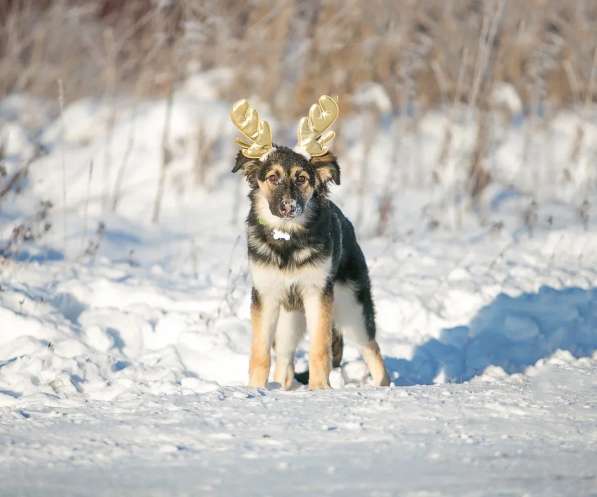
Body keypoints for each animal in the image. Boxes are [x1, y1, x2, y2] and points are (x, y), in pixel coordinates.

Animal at [230, 95, 388, 390]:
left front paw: (319, 389)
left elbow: (319, 348)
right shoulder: (266, 296)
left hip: (352, 310)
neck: (287, 242)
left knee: (372, 349)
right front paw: (255, 390)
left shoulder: (317, 295)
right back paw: (282, 387)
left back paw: (382, 386)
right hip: (289, 320)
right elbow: (260, 352)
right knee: (284, 360)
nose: (289, 207)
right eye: (273, 177)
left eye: (302, 179)